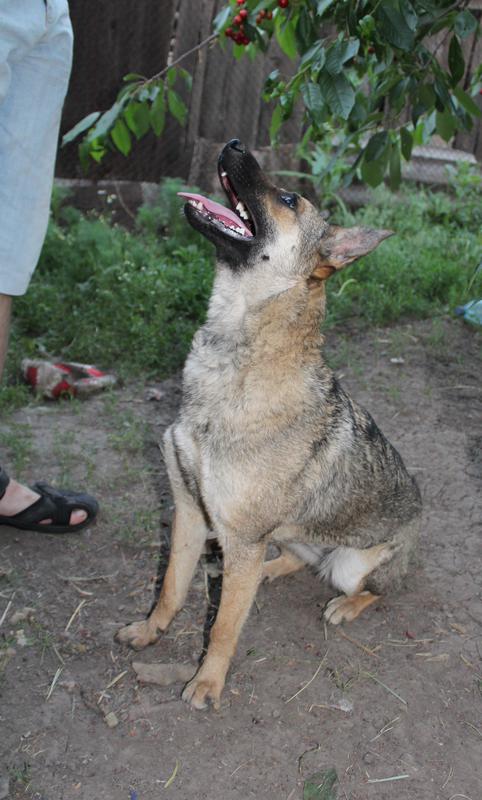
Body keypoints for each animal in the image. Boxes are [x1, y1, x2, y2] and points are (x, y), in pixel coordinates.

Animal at [118, 141, 424, 708]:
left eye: (287, 199)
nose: (234, 144)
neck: (237, 358)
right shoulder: (188, 512)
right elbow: (170, 588)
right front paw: (150, 631)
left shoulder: (237, 534)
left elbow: (223, 628)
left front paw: (207, 683)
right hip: (277, 536)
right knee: (293, 558)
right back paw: (268, 568)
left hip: (350, 565)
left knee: (374, 588)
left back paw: (345, 604)